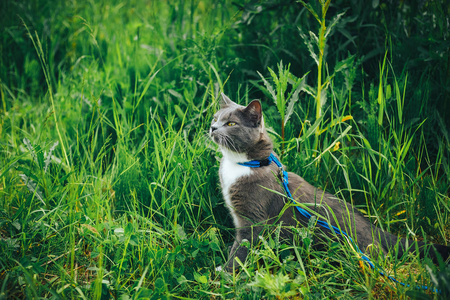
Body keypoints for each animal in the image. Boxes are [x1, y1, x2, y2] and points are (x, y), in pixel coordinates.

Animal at [211, 93, 450, 272]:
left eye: (231, 123)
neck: (243, 163)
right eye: (215, 118)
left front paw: (225, 274)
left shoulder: (253, 218)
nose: (212, 128)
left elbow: (241, 249)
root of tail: (375, 230)